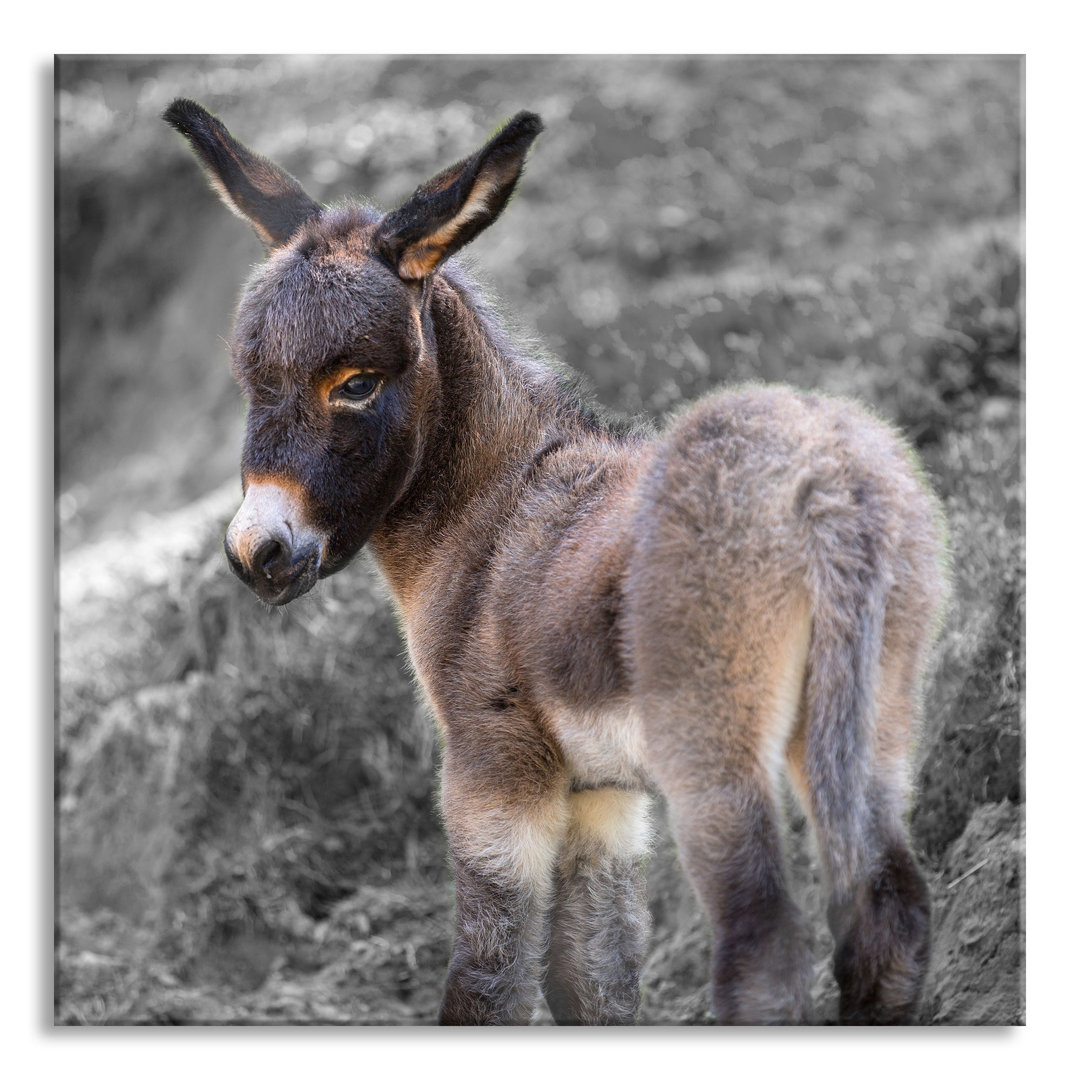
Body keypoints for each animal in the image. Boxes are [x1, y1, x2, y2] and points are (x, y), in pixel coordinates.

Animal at [164, 99, 950, 1019]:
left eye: (355, 383)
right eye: (249, 380)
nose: (259, 552)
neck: (490, 512)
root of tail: (827, 481)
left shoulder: (493, 772)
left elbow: (489, 978)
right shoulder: (604, 798)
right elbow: (592, 977)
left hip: (714, 755)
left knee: (763, 947)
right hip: (871, 718)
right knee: (889, 910)